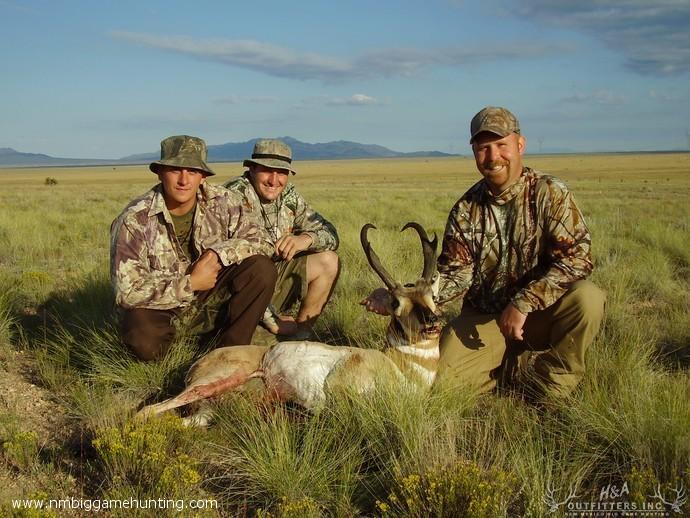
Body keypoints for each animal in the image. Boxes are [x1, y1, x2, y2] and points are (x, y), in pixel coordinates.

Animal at [136, 223, 438, 426]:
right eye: (396, 303)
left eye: (432, 296)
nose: (432, 322)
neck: (401, 367)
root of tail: (198, 363)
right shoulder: (339, 392)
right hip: (214, 381)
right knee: (146, 411)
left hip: (208, 410)